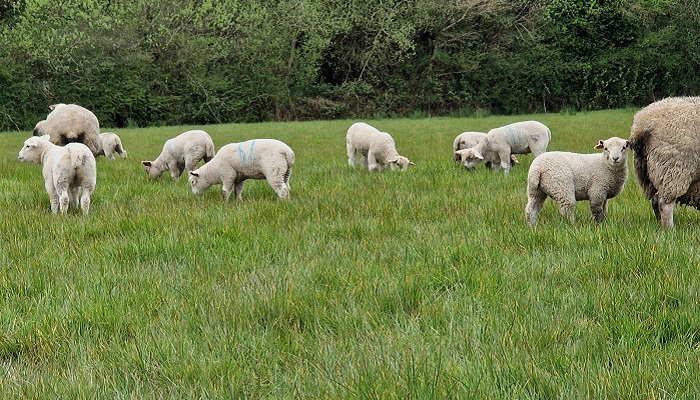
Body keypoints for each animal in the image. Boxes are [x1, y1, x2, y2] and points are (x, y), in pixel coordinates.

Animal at [628, 96, 700, 228]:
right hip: (673, 169)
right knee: (664, 202)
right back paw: (670, 228)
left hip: (647, 174)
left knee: (655, 201)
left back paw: (660, 225)